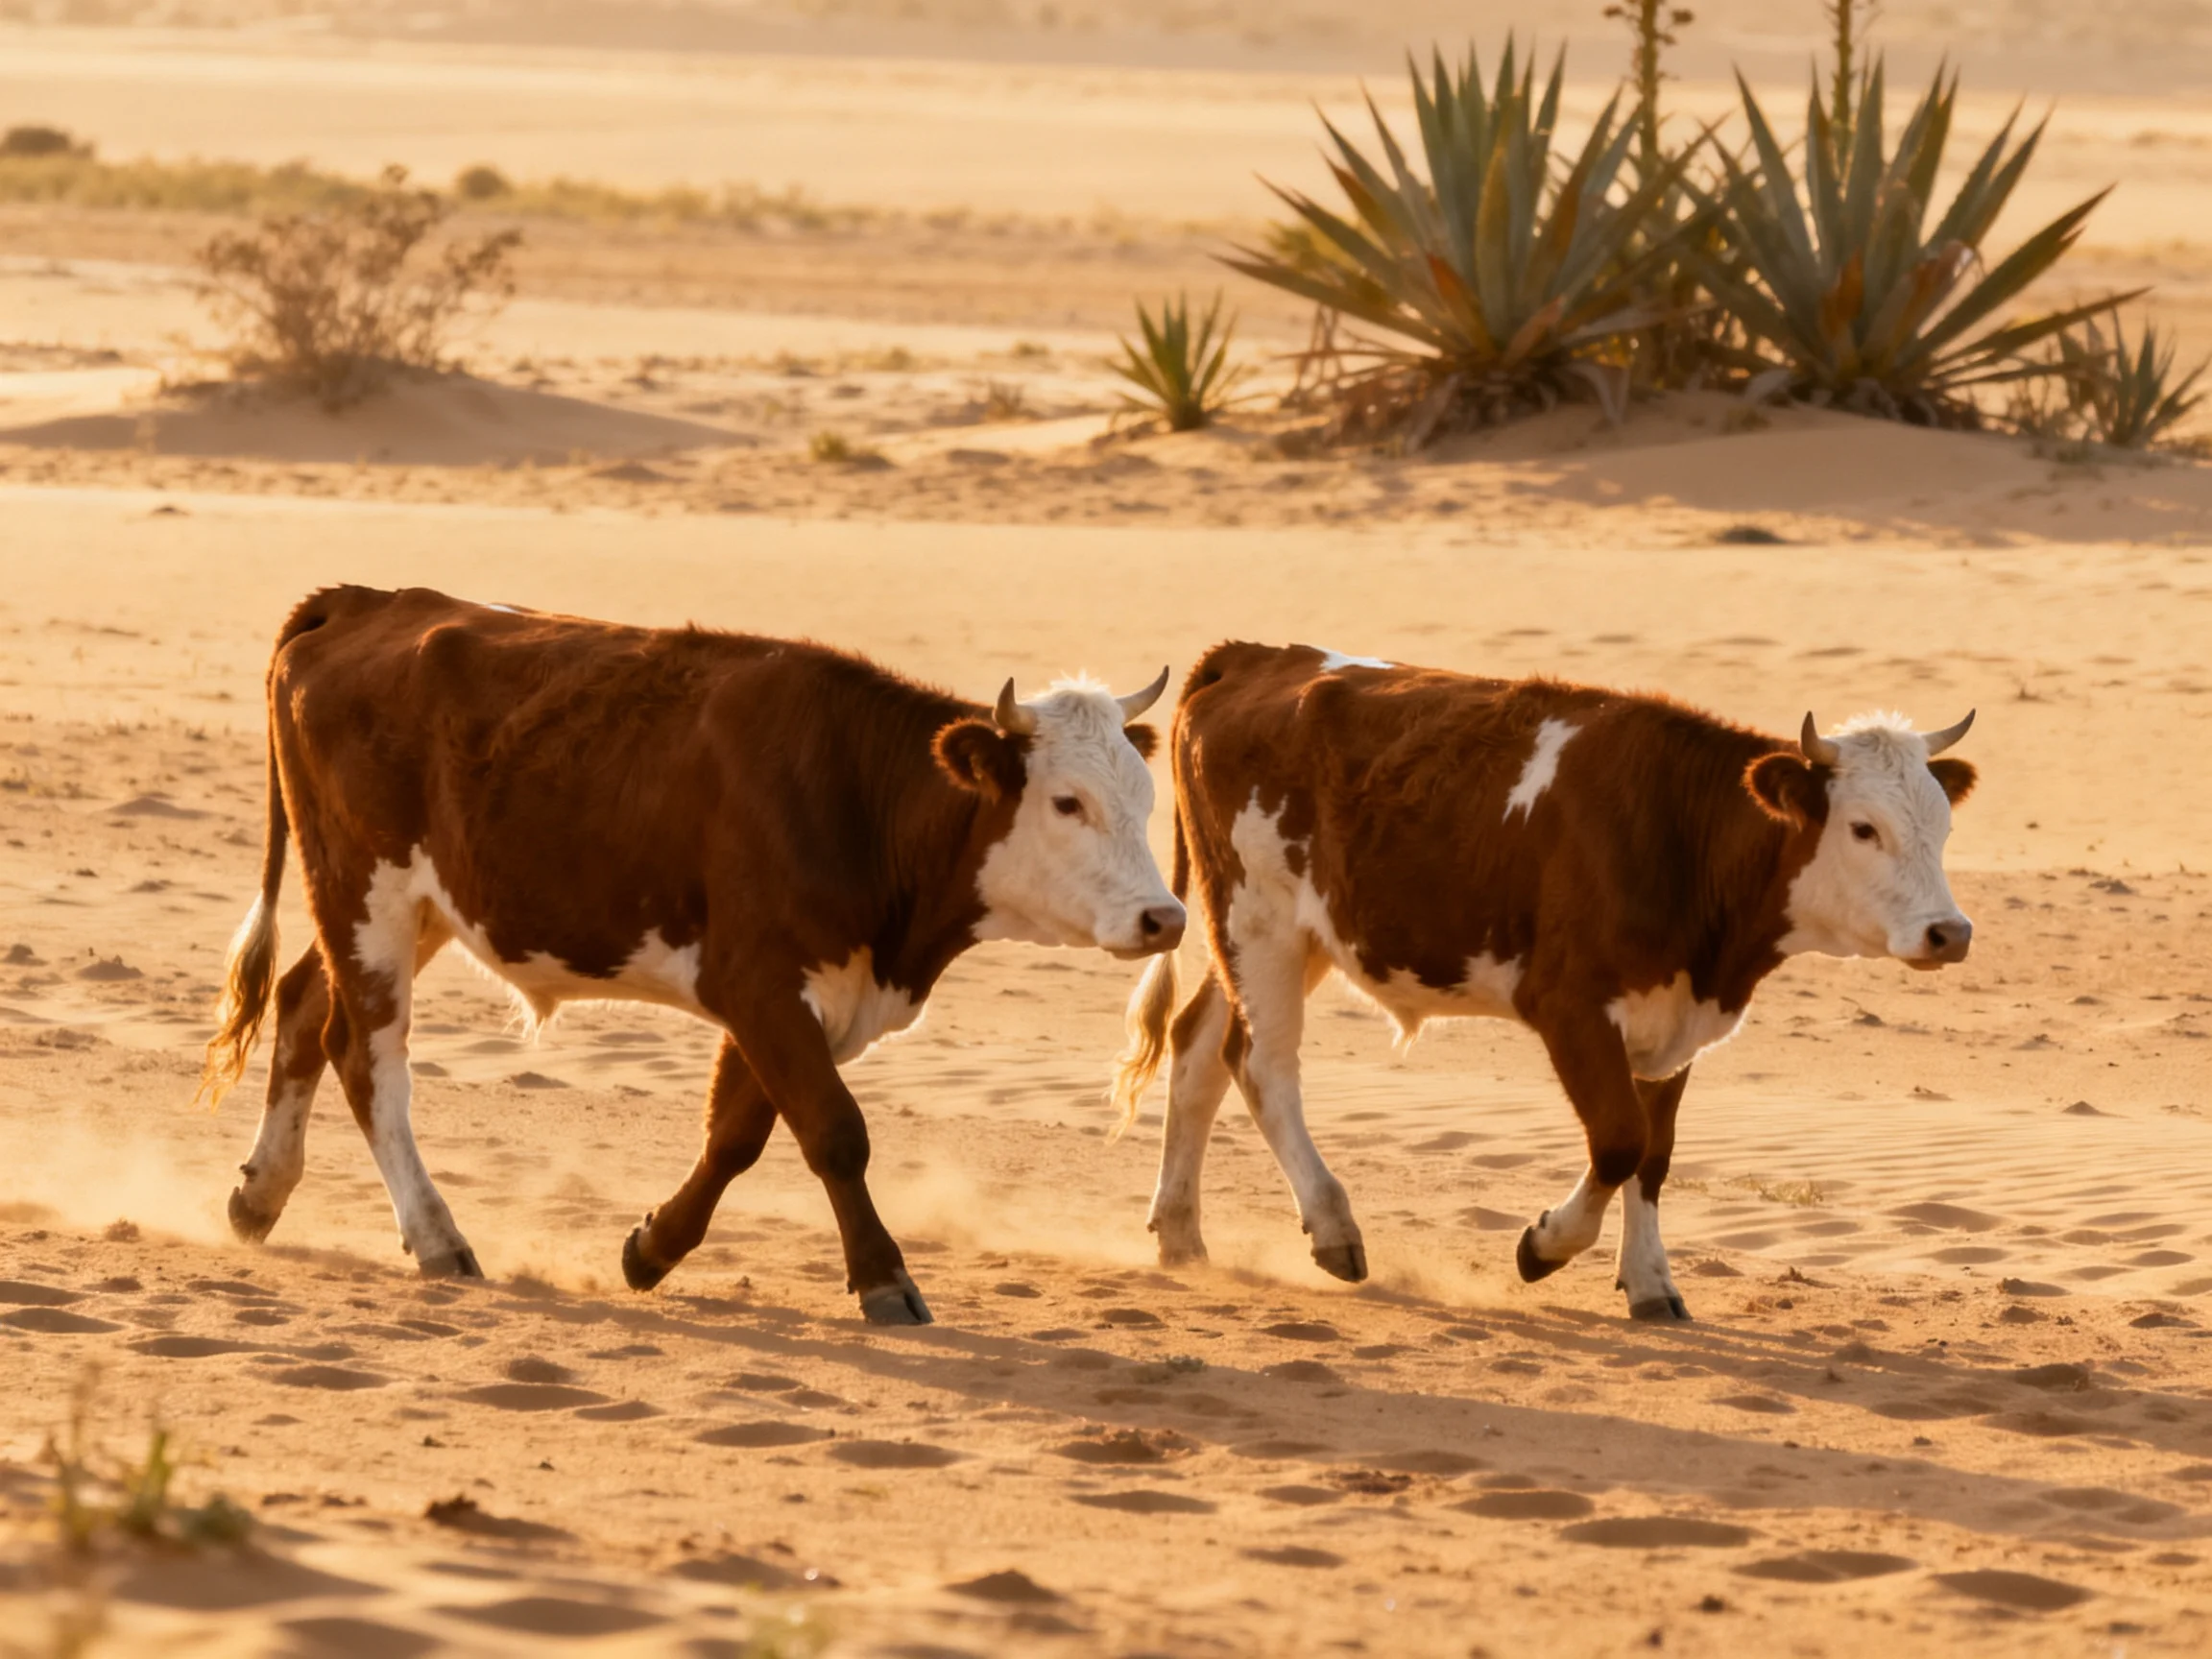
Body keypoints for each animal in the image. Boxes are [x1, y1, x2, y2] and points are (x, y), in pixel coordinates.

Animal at [199, 585, 1184, 1325]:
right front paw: (884, 1279)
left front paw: (651, 1248)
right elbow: (834, 1131)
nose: (1165, 918)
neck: (857, 794)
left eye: (1144, 798)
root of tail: (364, 602)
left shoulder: (800, 995)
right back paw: (437, 1237)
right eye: (1067, 802)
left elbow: (739, 1134)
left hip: (414, 905)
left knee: (303, 1005)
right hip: (365, 890)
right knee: (368, 1058)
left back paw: (260, 1195)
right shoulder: (757, 983)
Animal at [1110, 642, 1978, 1321]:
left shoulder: (1673, 1017)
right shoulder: (1571, 1007)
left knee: (1197, 1049)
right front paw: (1545, 1247)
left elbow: (1655, 1155)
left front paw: (1651, 1283)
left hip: (1281, 937)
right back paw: (1331, 1227)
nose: (1951, 932)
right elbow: (1620, 1141)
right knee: (1260, 1064)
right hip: (1259, 921)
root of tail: (1251, 657)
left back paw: (1180, 1232)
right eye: (1863, 828)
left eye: (1942, 825)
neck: (1676, 831)